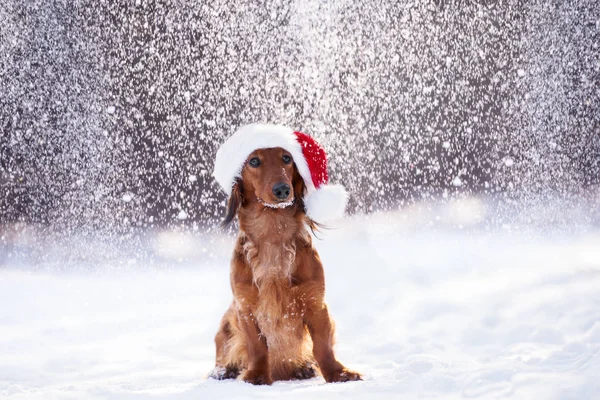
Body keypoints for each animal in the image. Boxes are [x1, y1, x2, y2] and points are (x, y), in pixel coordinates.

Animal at [211, 124, 360, 384]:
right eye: (254, 161)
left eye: (287, 158)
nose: (282, 190)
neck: (273, 232)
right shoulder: (245, 308)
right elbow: (257, 347)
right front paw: (257, 376)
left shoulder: (316, 303)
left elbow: (323, 347)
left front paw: (337, 373)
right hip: (225, 325)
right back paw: (223, 372)